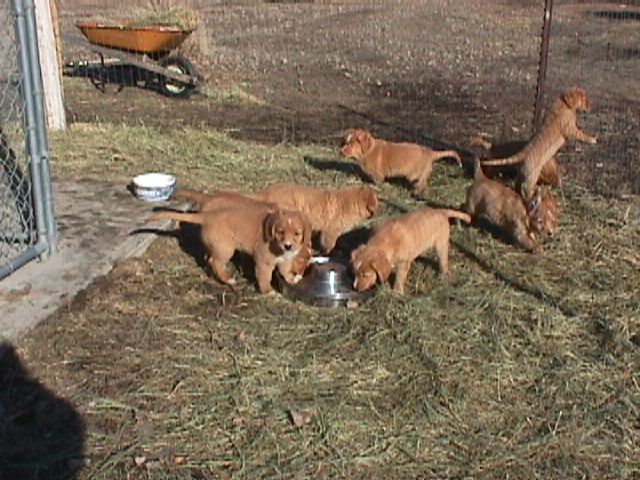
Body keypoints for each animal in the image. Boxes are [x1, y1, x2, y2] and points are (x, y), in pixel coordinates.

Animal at [148, 205, 312, 294]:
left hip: (218, 247)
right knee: (215, 261)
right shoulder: (263, 262)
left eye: (297, 233)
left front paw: (292, 278)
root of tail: (208, 216)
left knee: (208, 259)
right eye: (281, 232)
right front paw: (268, 291)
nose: (288, 245)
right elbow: (265, 277)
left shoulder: (285, 261)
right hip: (226, 249)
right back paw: (228, 279)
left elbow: (285, 272)